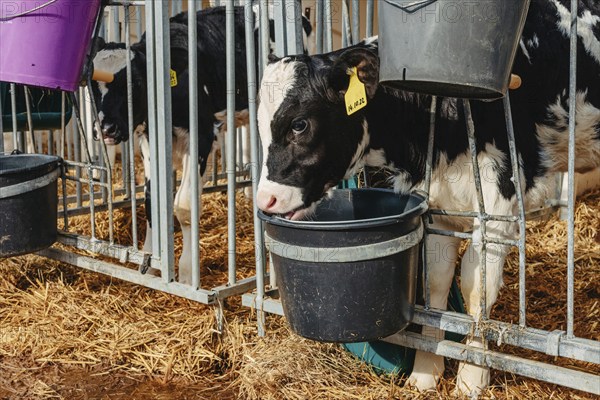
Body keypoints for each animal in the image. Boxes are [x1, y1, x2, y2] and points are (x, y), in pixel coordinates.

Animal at [91, 4, 312, 282]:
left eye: (136, 82)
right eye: (92, 83)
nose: (105, 128)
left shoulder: (202, 137)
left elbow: (184, 206)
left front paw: (187, 273)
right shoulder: (151, 140)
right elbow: (152, 202)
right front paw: (150, 262)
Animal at [254, 0, 600, 394]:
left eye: (299, 124)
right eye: (260, 125)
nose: (264, 200)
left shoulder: (499, 200)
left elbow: (477, 290)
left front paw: (472, 376)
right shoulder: (434, 204)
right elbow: (435, 285)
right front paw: (426, 370)